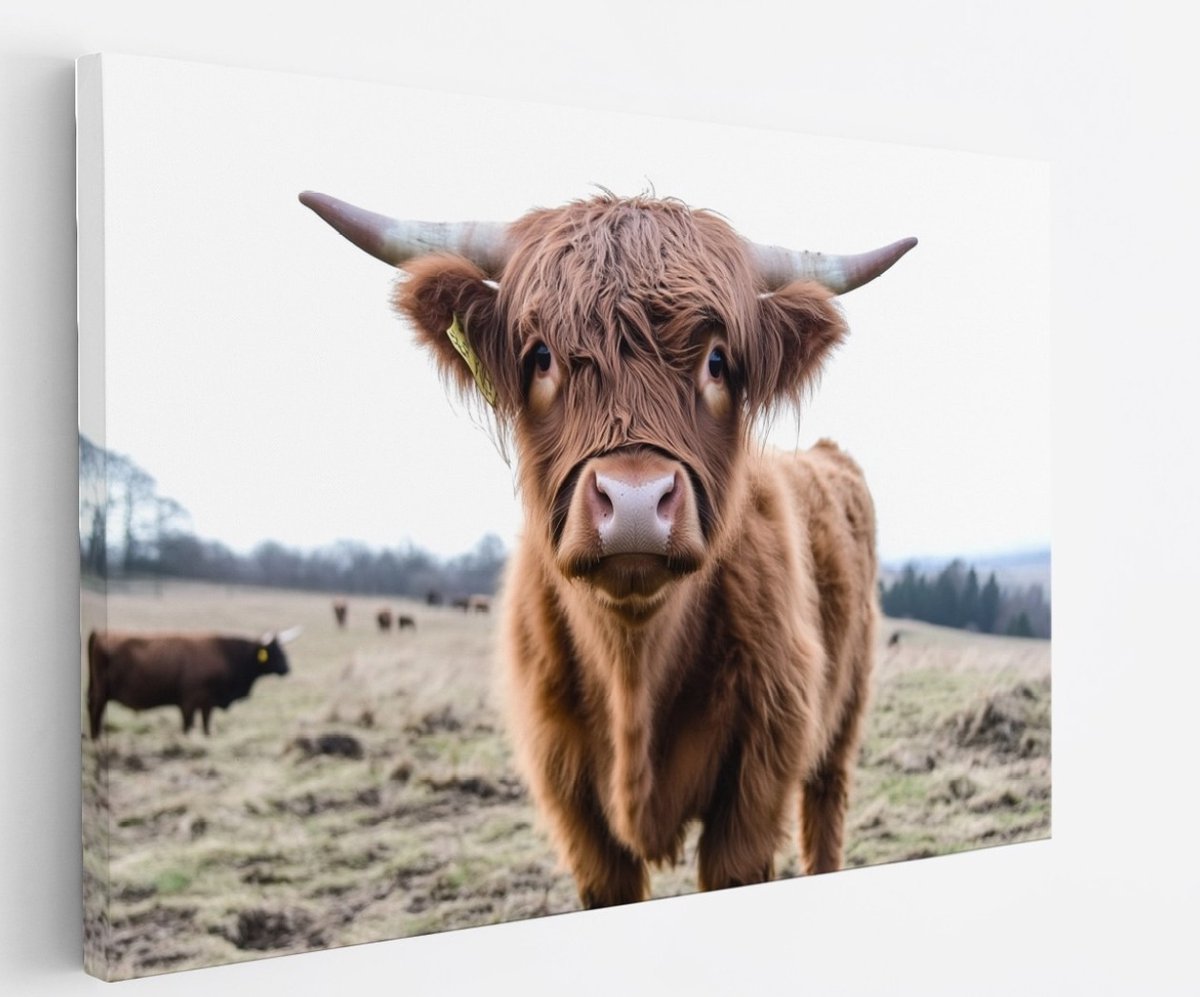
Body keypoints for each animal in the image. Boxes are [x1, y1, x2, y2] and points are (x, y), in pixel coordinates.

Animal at [87, 627, 299, 738]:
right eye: (275, 652)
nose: (287, 668)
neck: (225, 655)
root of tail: (99, 632)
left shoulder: (207, 703)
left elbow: (205, 725)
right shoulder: (189, 701)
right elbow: (188, 726)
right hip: (101, 692)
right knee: (95, 710)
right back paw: (96, 738)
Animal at [301, 189, 915, 907]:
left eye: (717, 361)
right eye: (540, 356)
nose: (635, 504)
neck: (632, 667)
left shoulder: (757, 781)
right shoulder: (572, 804)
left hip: (842, 717)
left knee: (827, 804)